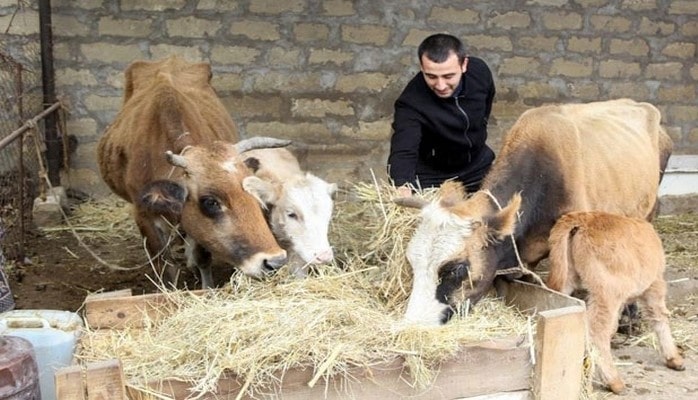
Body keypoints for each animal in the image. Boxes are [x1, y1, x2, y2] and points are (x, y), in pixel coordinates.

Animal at [548, 211, 684, 396]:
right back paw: (613, 381)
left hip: (565, 279)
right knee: (597, 330)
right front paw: (674, 358)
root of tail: (583, 218)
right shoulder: (654, 285)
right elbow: (659, 316)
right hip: (607, 292)